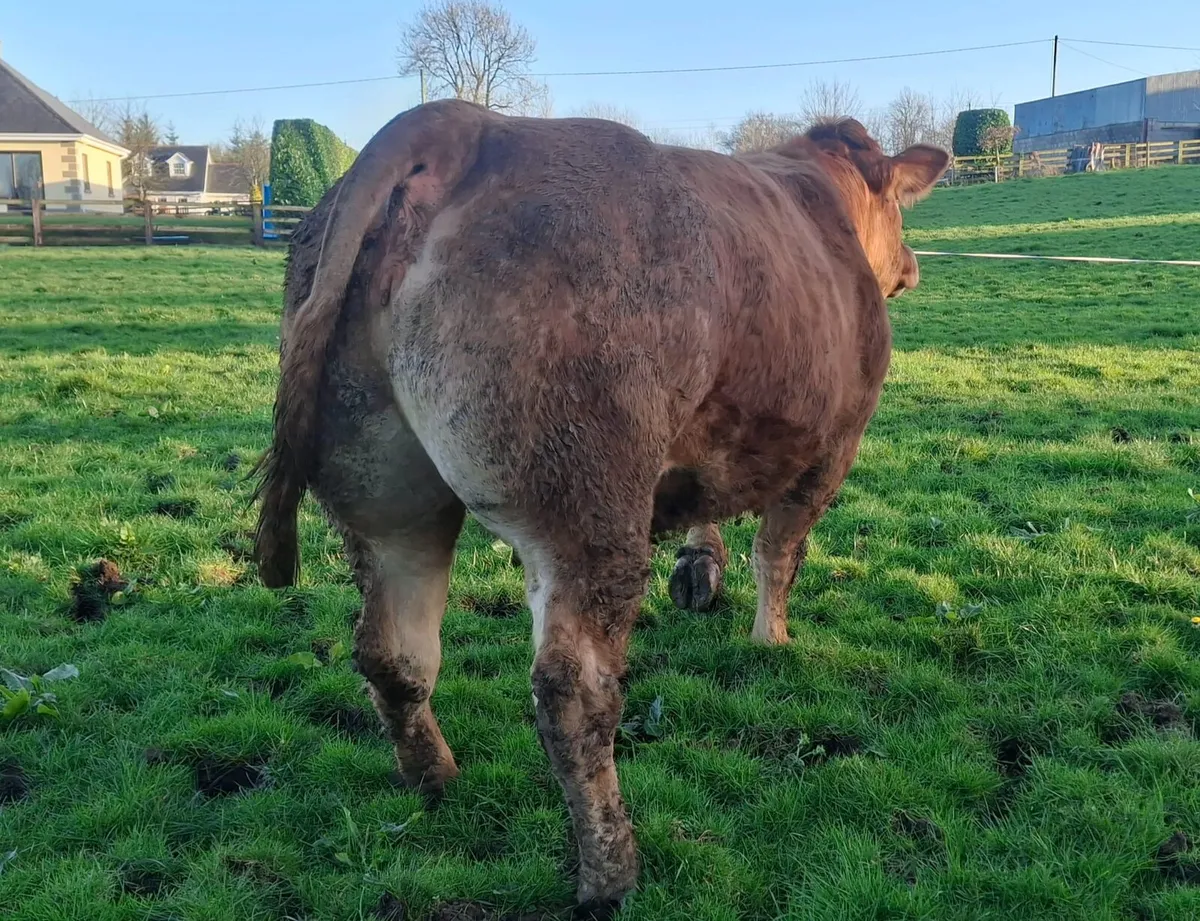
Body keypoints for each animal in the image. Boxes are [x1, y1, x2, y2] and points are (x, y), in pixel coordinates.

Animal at [253, 98, 948, 914]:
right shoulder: (830, 444)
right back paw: (612, 869)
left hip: (388, 496)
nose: (913, 264)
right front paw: (770, 639)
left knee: (392, 651)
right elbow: (779, 551)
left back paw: (436, 779)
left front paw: (700, 572)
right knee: (572, 691)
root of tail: (464, 124)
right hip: (587, 508)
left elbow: (712, 511)